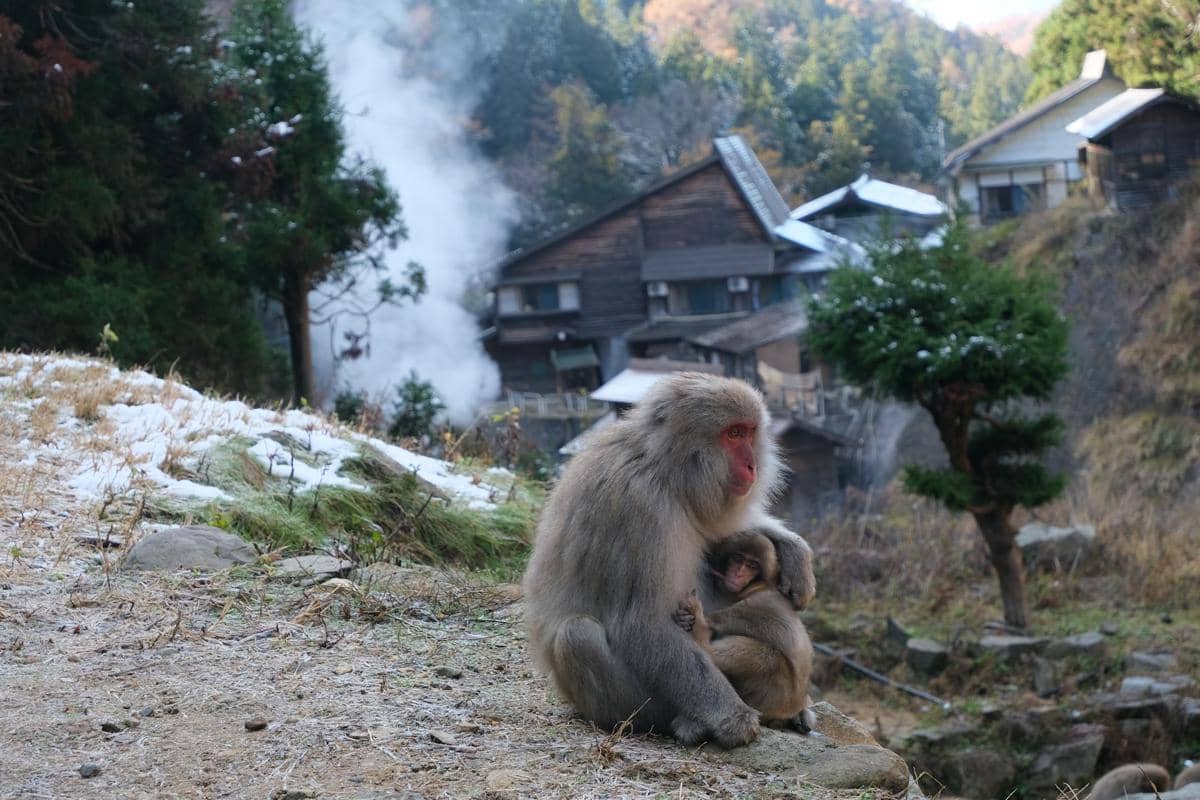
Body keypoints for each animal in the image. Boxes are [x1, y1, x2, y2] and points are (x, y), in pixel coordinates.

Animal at [673, 529, 816, 733]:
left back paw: (700, 635)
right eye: (738, 558)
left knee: (768, 657)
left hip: (772, 697)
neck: (760, 585)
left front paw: (702, 623)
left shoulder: (754, 604)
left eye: (752, 565)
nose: (738, 573)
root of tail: (788, 709)